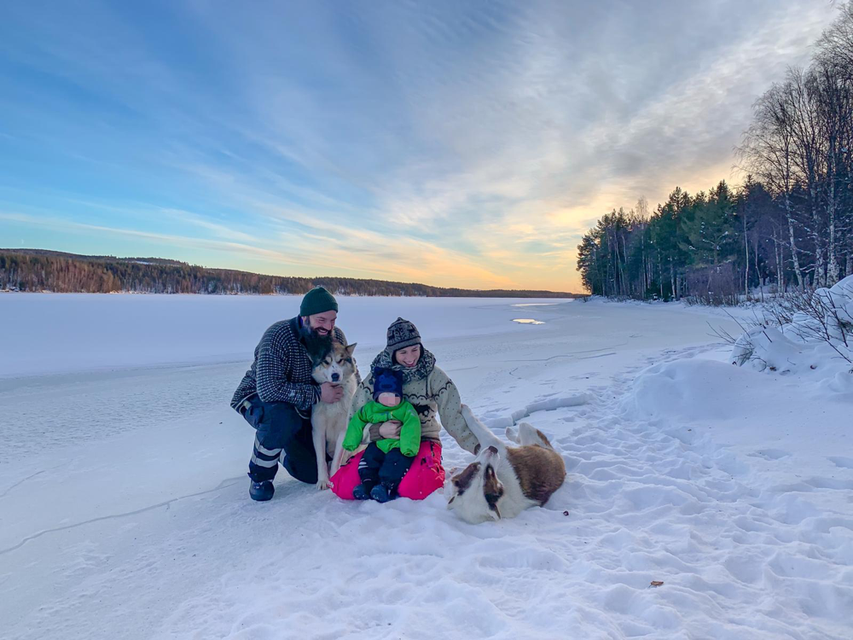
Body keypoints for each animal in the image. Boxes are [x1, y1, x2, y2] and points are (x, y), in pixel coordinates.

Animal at [310, 341, 358, 490]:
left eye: (340, 360)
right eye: (326, 362)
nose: (335, 375)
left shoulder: (344, 430)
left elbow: (338, 456)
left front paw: (335, 477)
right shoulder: (318, 430)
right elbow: (320, 459)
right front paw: (323, 481)